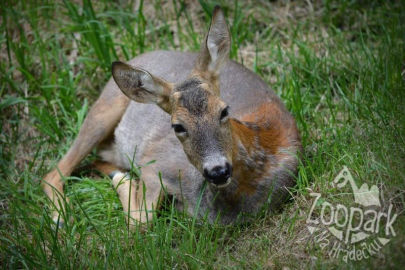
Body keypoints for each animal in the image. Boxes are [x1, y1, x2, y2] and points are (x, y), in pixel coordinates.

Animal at [42, 6, 300, 228]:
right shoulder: (155, 163)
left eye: (225, 110)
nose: (218, 171)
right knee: (54, 171)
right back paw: (61, 218)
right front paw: (124, 181)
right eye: (177, 126)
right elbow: (141, 222)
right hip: (106, 106)